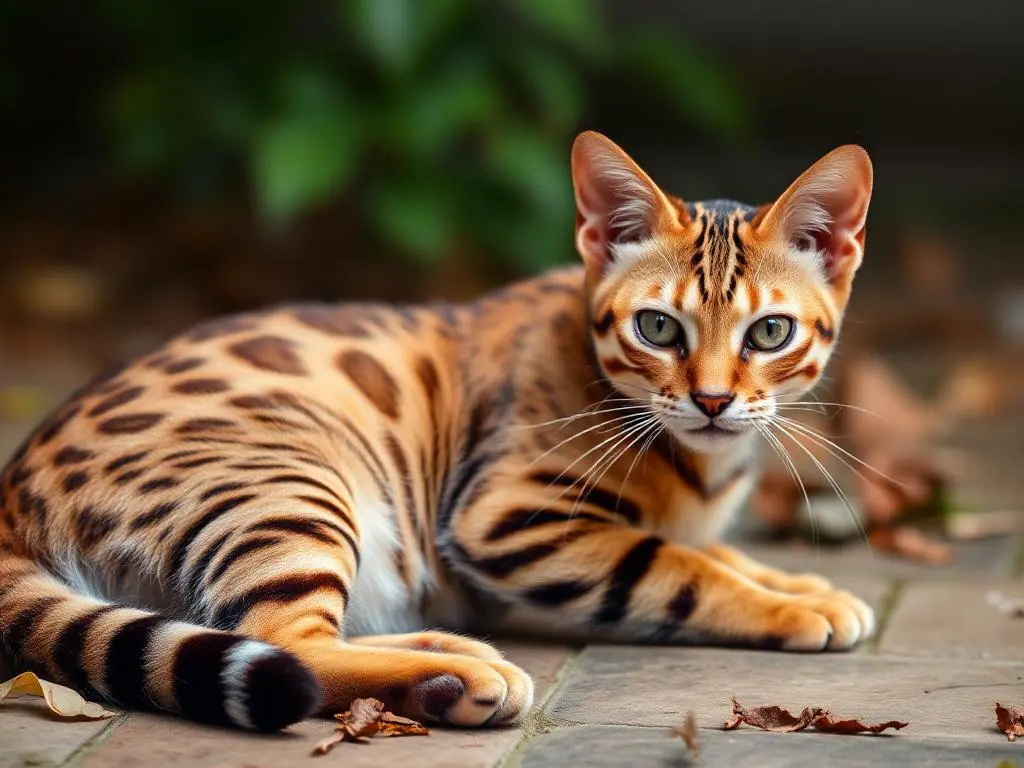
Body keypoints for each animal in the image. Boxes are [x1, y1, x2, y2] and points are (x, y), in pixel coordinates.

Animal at [0, 132, 876, 733]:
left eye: (768, 333)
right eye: (658, 327)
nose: (714, 401)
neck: (695, 463)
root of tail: (9, 498)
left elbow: (715, 549)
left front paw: (809, 585)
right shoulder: (508, 521)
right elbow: (682, 566)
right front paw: (790, 609)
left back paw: (449, 660)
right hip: (290, 480)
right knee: (287, 644)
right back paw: (463, 677)